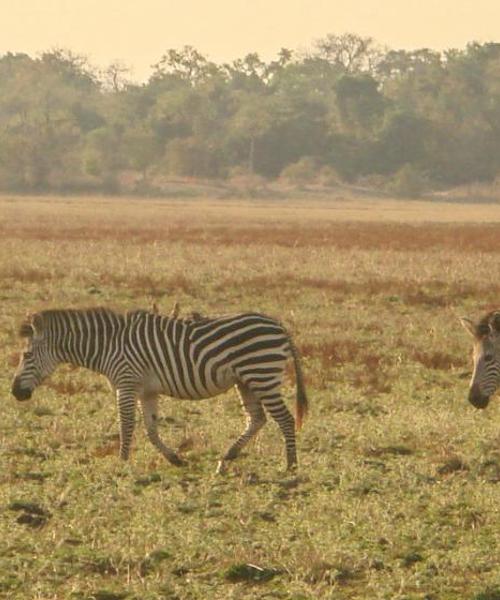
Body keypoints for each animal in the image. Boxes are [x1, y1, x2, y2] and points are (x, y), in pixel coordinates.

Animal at [10, 310, 308, 474]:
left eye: (26, 355)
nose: (15, 393)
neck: (107, 345)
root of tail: (278, 324)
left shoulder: (126, 382)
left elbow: (126, 424)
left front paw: (121, 462)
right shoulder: (146, 391)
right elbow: (151, 429)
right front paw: (174, 459)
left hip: (262, 374)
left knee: (284, 419)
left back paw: (290, 466)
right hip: (246, 380)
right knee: (256, 419)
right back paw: (225, 461)